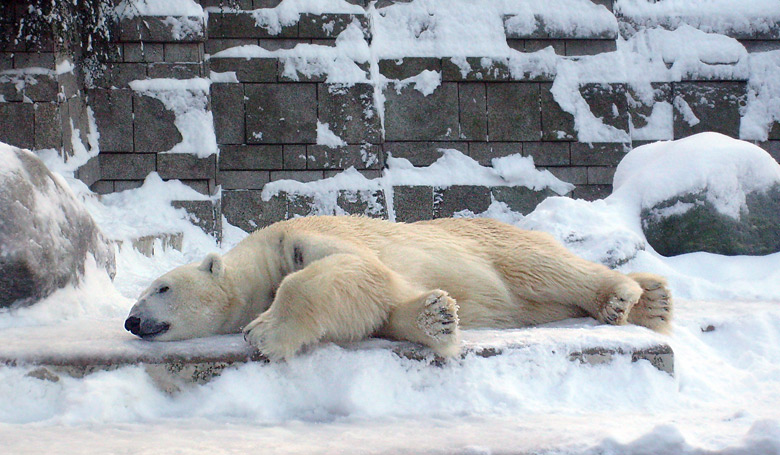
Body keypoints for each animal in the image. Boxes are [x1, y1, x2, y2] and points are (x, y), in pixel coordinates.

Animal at [126, 216, 672, 362]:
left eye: (161, 287)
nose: (131, 320)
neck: (265, 255)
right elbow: (378, 306)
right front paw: (437, 318)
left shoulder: (302, 240)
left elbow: (357, 273)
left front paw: (263, 332)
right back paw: (655, 301)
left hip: (494, 242)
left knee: (542, 267)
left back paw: (622, 296)